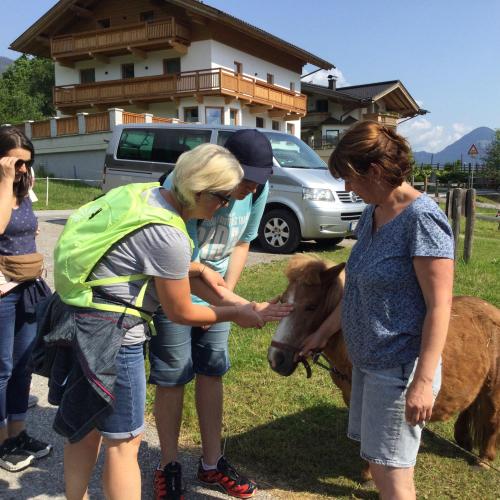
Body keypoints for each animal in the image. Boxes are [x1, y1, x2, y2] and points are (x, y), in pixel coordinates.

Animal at [270, 254, 500, 468]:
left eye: (311, 306)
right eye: (283, 299)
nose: (275, 358)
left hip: (492, 390)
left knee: (491, 418)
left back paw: (484, 459)